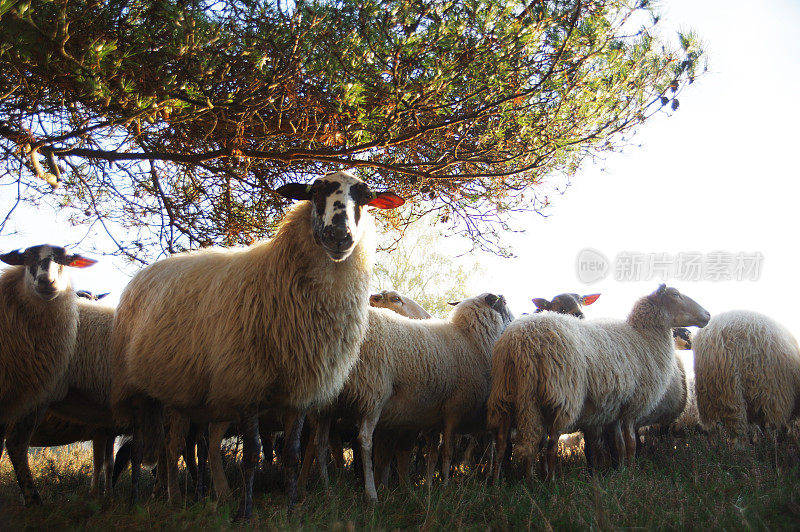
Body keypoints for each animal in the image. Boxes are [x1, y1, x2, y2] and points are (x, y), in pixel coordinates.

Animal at [109, 171, 404, 520]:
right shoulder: (246, 383)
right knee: (149, 447)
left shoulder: (300, 392)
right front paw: (245, 512)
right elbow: (252, 454)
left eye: (366, 197)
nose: (338, 236)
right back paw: (149, 499)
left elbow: (291, 454)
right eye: (315, 192)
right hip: (138, 391)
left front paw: (292, 508)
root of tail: (146, 272)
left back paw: (187, 496)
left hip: (183, 396)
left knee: (180, 445)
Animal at [312, 294, 512, 500]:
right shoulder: (453, 410)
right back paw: (371, 494)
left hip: (328, 404)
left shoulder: (434, 418)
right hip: (373, 393)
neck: (469, 339)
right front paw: (445, 487)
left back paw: (327, 488)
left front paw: (429, 486)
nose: (513, 322)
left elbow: (433, 454)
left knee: (320, 442)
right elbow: (447, 452)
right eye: (505, 303)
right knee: (364, 441)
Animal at [488, 284, 708, 484]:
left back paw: (502, 483)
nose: (707, 315)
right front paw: (632, 473)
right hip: (561, 397)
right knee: (550, 446)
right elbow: (631, 444)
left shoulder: (614, 411)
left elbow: (619, 445)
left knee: (502, 444)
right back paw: (549, 483)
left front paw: (621, 471)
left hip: (505, 394)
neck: (643, 337)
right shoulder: (632, 406)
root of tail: (521, 341)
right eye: (675, 294)